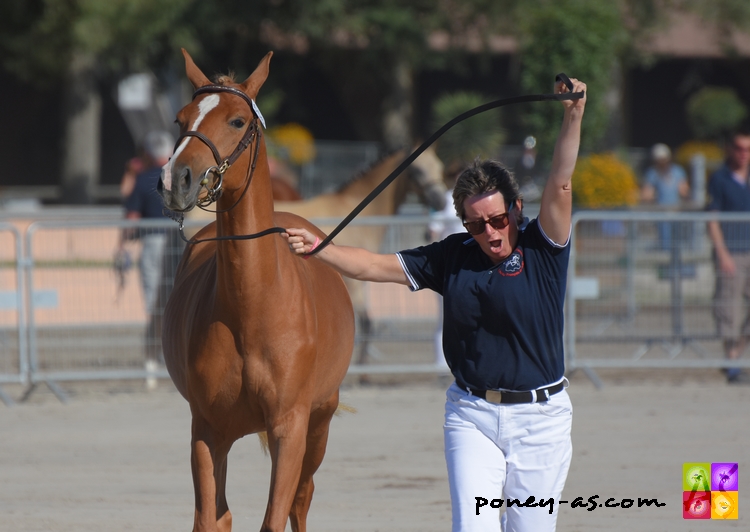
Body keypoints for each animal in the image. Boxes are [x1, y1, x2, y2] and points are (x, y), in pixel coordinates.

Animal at [156, 47, 356, 528]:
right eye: (180, 118)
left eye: (237, 121)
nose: (176, 179)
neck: (253, 306)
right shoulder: (207, 431)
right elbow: (210, 517)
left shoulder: (290, 428)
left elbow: (276, 514)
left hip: (320, 421)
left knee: (301, 499)